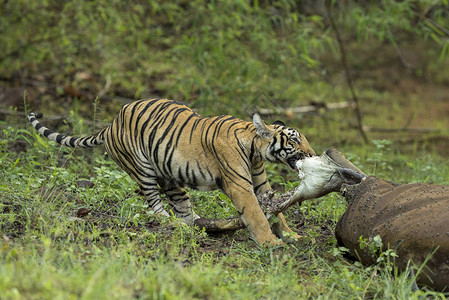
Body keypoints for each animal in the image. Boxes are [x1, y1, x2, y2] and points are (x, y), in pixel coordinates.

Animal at [28, 99, 316, 245]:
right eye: (294, 141)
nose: (313, 153)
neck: (255, 148)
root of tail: (110, 124)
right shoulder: (240, 186)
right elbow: (256, 214)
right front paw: (271, 243)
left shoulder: (261, 184)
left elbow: (278, 210)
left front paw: (292, 234)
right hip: (142, 169)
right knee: (156, 207)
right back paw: (172, 223)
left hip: (170, 175)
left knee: (184, 210)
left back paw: (198, 225)